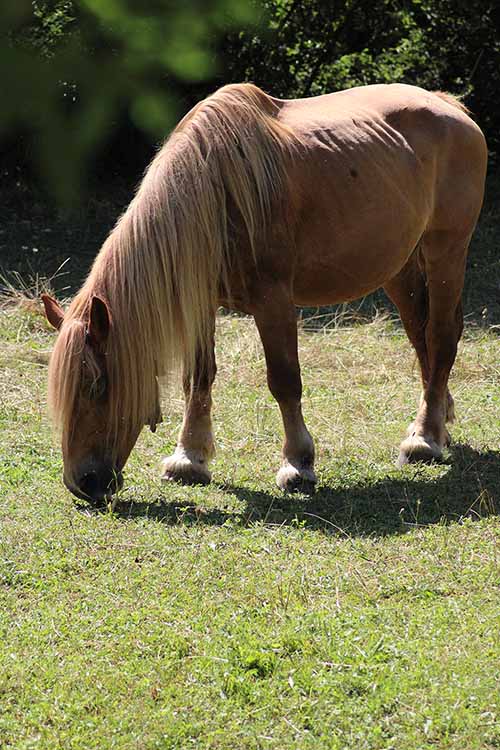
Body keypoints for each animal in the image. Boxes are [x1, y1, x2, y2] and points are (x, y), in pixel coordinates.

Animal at [41, 82, 487, 503]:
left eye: (96, 386)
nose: (82, 483)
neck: (217, 193)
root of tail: (448, 105)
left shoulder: (273, 302)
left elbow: (284, 381)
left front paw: (298, 463)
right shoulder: (202, 303)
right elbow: (198, 376)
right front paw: (189, 458)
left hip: (445, 253)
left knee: (440, 339)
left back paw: (424, 440)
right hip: (399, 270)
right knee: (421, 342)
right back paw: (436, 422)